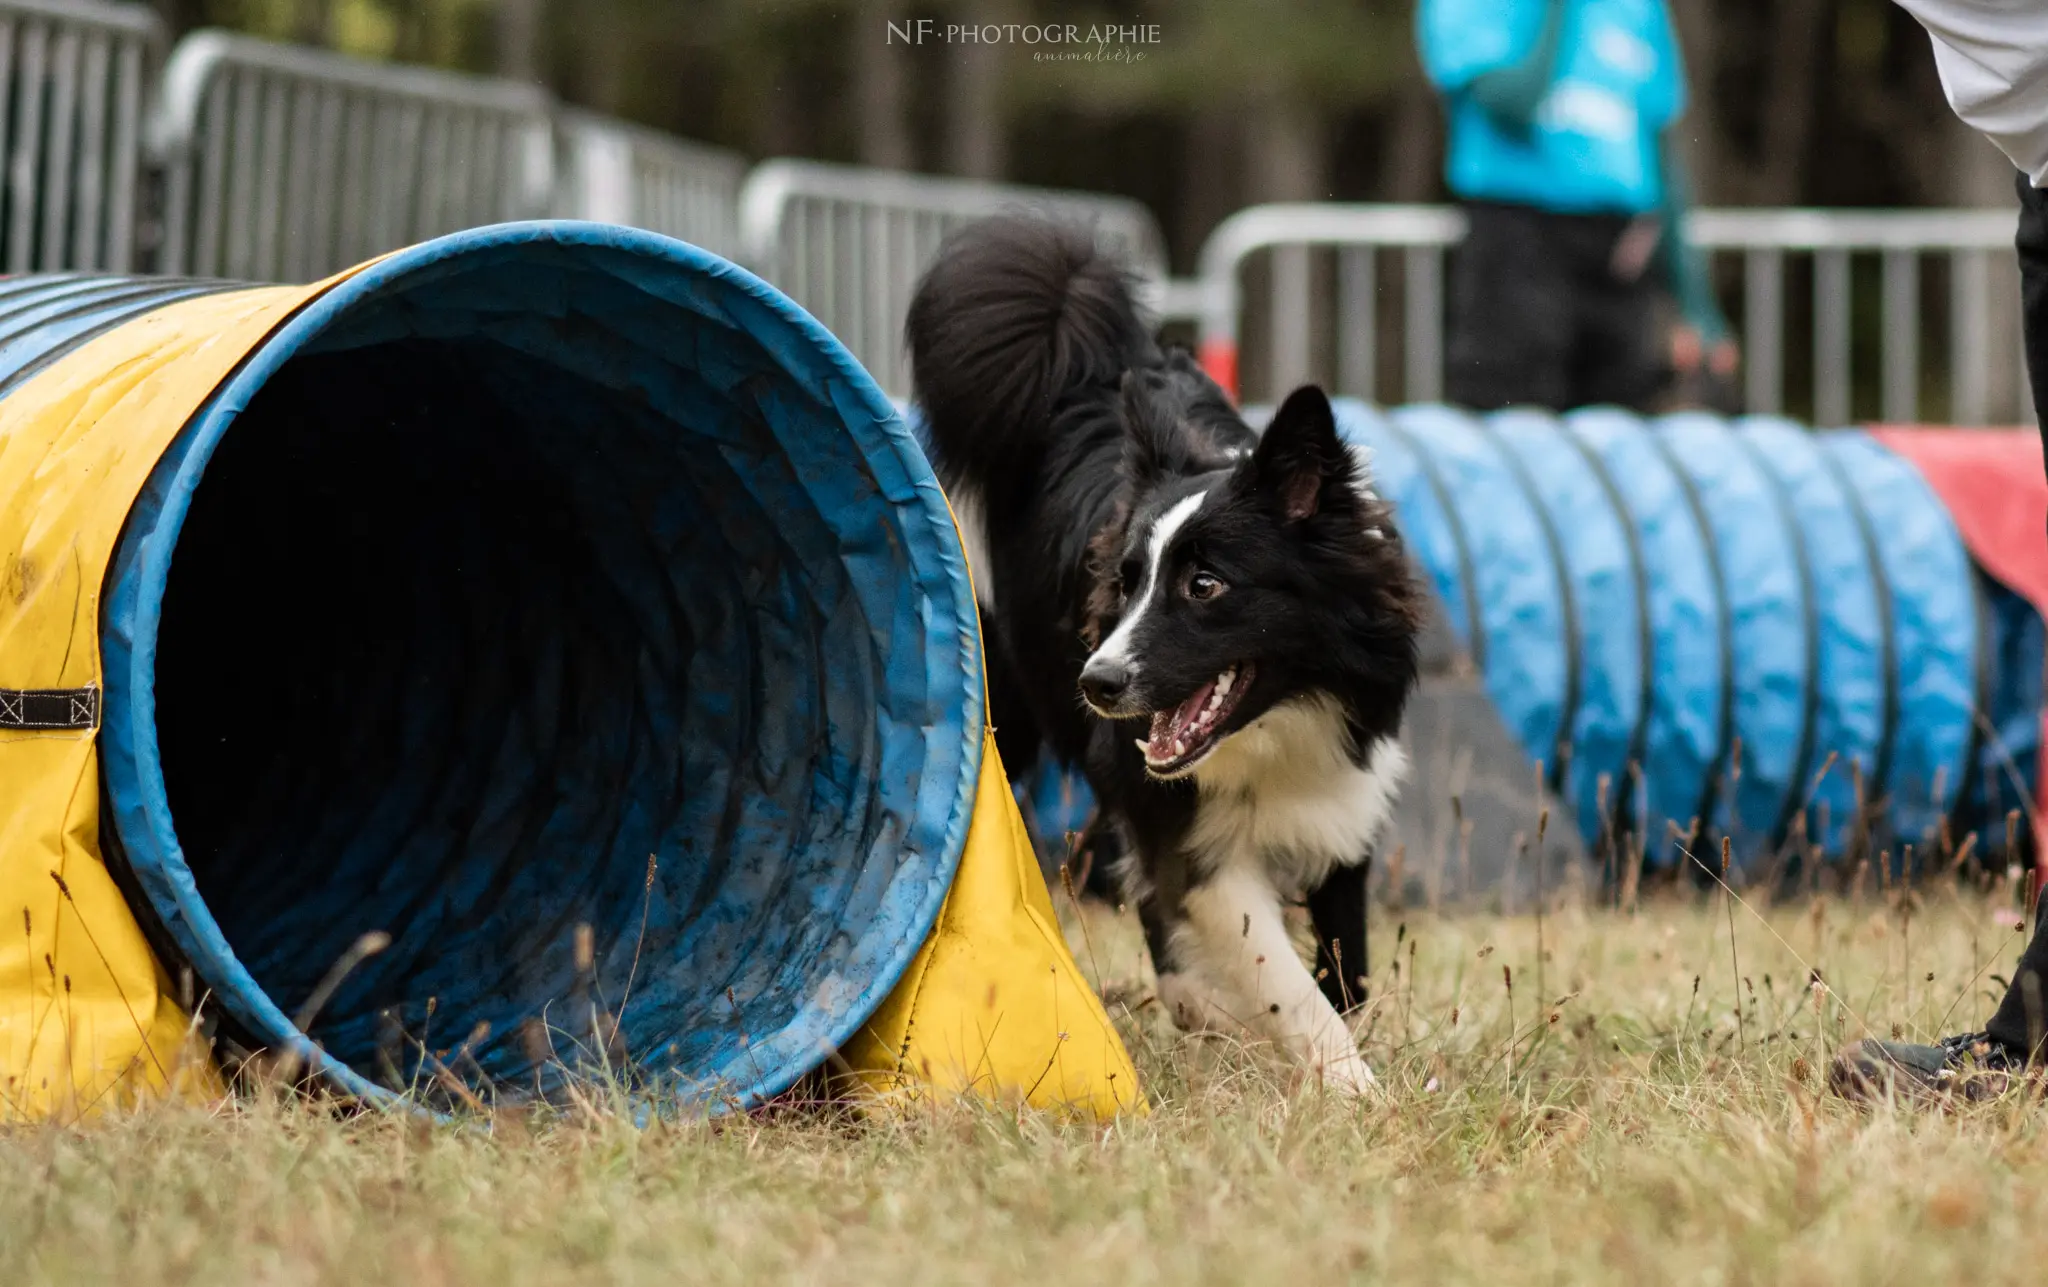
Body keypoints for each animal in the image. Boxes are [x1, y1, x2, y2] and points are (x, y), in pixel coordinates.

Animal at [913, 216, 1425, 1090]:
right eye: (1124, 584)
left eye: (1205, 585)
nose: (1098, 682)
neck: (1280, 718)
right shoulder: (1183, 823)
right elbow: (1281, 974)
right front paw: (1353, 1085)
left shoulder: (1342, 799)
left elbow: (1344, 966)